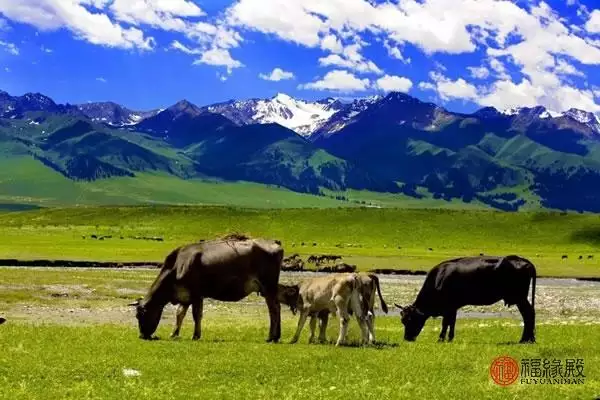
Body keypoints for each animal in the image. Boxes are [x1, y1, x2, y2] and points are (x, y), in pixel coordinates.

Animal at [129, 236, 284, 342]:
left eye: (139, 315)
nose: (142, 335)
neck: (177, 267)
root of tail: (274, 243)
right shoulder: (186, 296)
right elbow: (180, 314)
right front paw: (174, 333)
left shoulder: (196, 294)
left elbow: (196, 315)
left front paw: (196, 335)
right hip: (267, 289)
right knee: (276, 307)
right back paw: (276, 336)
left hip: (268, 286)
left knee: (274, 309)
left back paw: (271, 337)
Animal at [396, 256, 536, 344]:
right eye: (402, 321)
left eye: (410, 319)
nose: (407, 338)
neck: (438, 279)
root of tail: (523, 260)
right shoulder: (452, 308)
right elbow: (451, 323)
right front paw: (450, 339)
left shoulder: (449, 307)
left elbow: (445, 323)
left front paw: (440, 339)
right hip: (520, 298)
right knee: (528, 314)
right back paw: (529, 339)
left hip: (520, 298)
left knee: (528, 314)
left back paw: (525, 340)